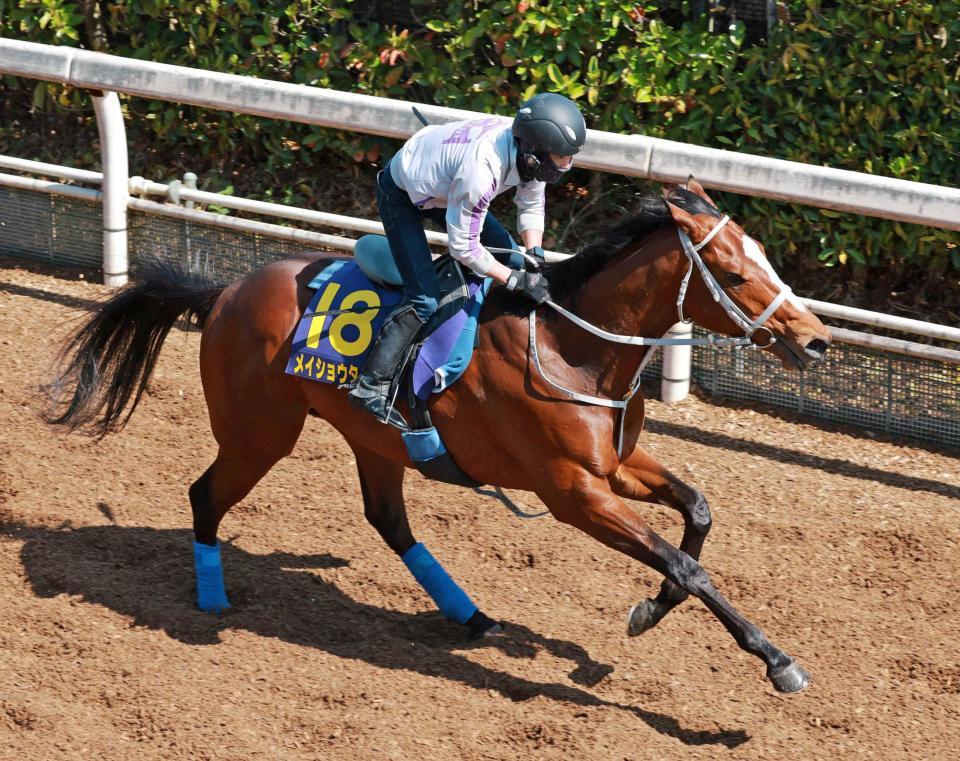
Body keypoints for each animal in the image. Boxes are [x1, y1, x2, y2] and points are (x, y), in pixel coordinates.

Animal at [43, 180, 832, 696]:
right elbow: (690, 565)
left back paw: (468, 614)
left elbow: (697, 512)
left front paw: (649, 606)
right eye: (733, 271)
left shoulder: (617, 463)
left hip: (375, 440)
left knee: (387, 518)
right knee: (205, 495)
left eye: (765, 254)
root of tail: (225, 292)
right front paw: (776, 659)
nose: (816, 339)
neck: (574, 344)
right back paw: (211, 599)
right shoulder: (574, 491)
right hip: (258, 434)